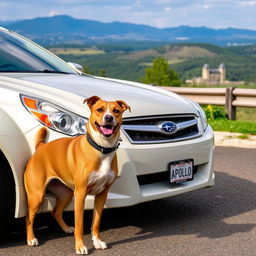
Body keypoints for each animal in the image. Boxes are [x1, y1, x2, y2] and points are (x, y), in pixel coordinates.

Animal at [24, 96, 130, 254]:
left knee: (55, 211)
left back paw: (66, 228)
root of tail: (40, 148)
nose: (109, 117)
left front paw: (97, 242)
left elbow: (96, 222)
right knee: (29, 218)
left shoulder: (102, 194)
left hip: (65, 193)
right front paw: (80, 247)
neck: (101, 149)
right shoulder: (81, 193)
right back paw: (31, 239)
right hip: (37, 195)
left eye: (116, 111)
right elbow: (80, 225)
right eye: (100, 109)